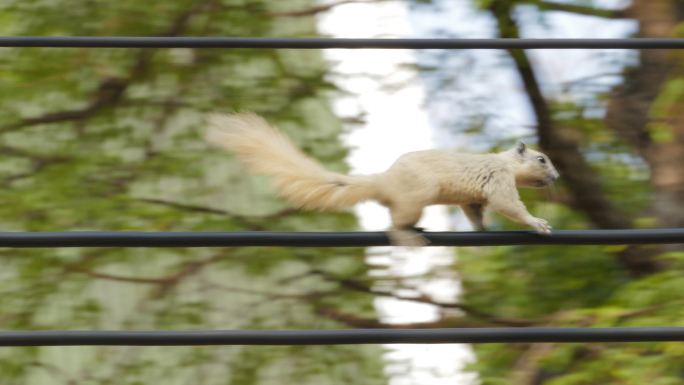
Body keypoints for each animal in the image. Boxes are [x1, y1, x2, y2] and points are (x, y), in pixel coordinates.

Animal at [206, 112, 560, 244]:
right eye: (541, 159)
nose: (556, 177)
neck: (504, 162)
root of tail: (383, 181)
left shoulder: (473, 199)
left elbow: (475, 212)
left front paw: (482, 230)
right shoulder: (498, 181)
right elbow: (508, 204)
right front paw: (538, 223)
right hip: (418, 195)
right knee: (394, 225)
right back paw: (409, 236)